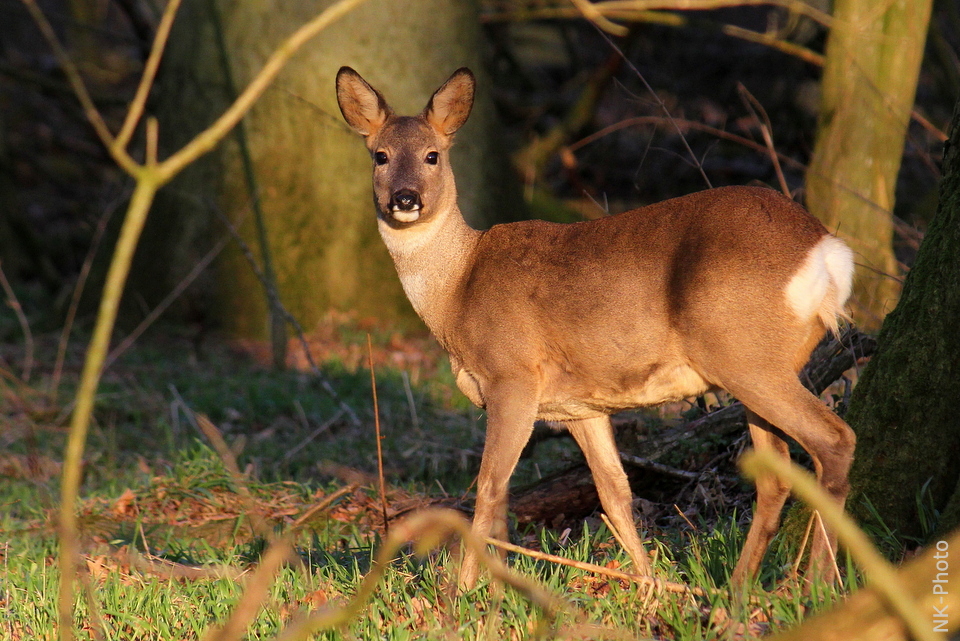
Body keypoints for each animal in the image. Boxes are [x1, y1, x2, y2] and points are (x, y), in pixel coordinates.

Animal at [336, 67, 856, 588]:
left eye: (433, 155)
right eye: (380, 155)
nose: (405, 198)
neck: (458, 289)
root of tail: (825, 250)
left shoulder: (513, 374)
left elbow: (489, 486)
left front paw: (462, 591)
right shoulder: (578, 405)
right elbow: (613, 491)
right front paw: (648, 586)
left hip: (744, 356)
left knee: (834, 440)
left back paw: (817, 582)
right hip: (756, 364)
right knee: (775, 474)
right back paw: (738, 589)